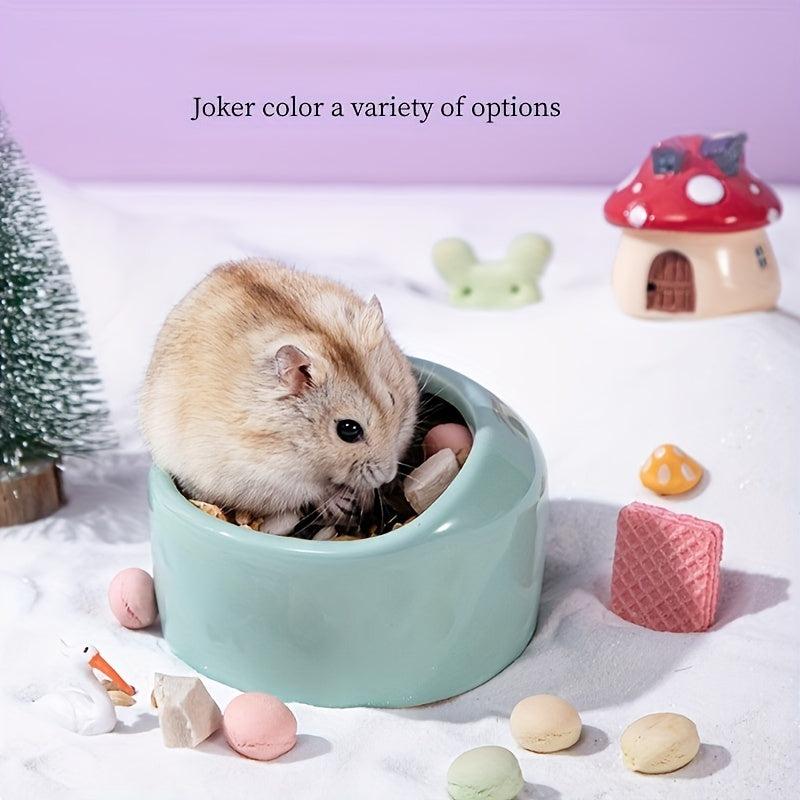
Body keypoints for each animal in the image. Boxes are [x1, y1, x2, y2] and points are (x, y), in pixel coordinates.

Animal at [140, 259, 419, 527]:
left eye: (392, 400)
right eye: (348, 430)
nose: (388, 476)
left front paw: (366, 495)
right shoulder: (268, 477)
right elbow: (315, 491)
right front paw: (341, 502)